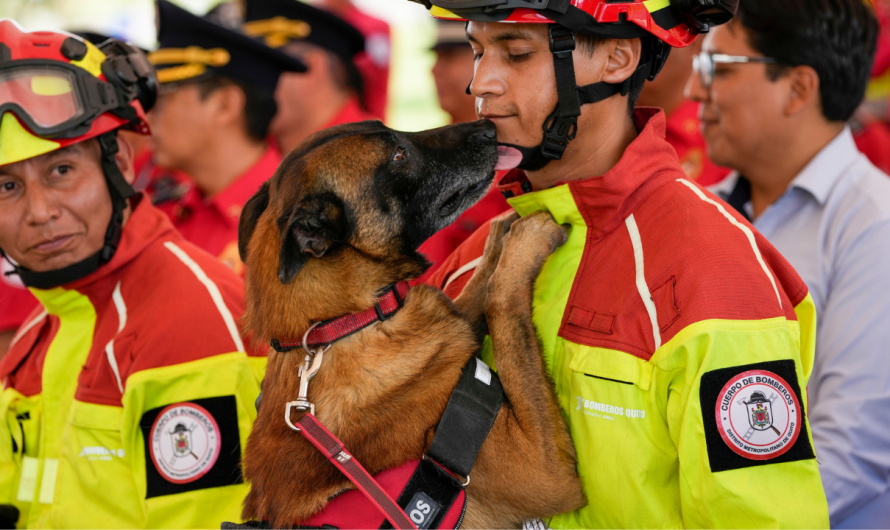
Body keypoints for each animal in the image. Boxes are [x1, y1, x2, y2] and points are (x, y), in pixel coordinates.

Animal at [238, 120, 584, 528]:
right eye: (398, 155)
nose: (487, 127)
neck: (345, 322)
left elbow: (478, 285)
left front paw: (500, 232)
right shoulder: (544, 469)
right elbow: (501, 297)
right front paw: (528, 238)